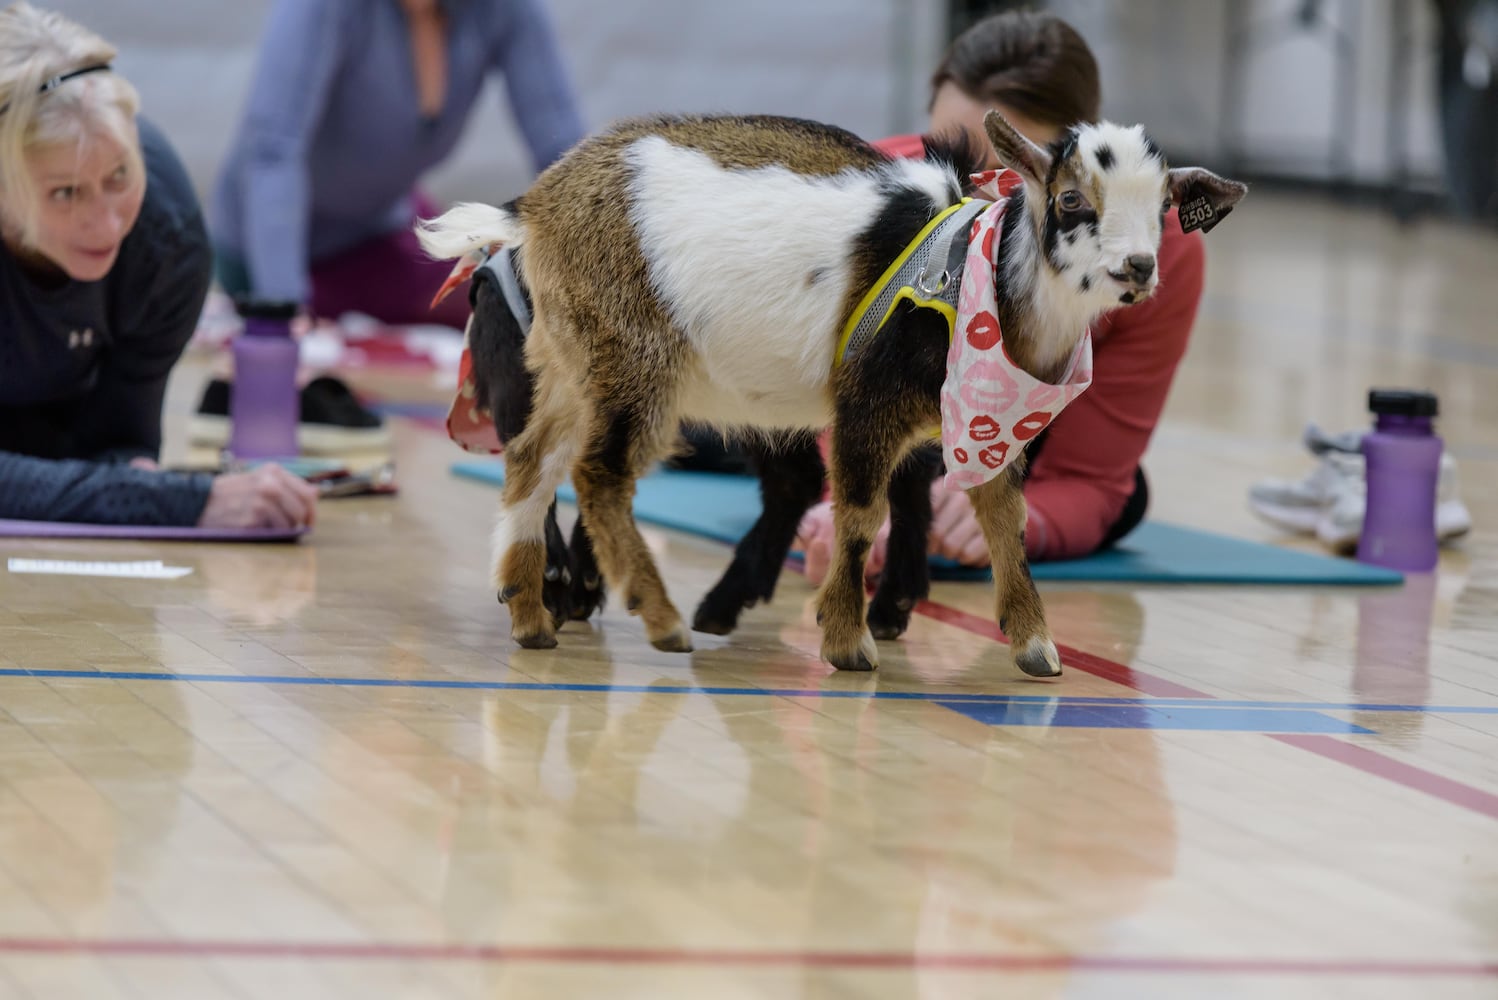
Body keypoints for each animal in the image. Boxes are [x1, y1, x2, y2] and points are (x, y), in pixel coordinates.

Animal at [416, 109, 1246, 676]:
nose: (1137, 268)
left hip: (568, 359)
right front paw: (849, 641)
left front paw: (1036, 645)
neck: (980, 284)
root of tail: (533, 208)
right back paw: (662, 620)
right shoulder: (866, 404)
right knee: (599, 474)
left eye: (1163, 210)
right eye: (1072, 201)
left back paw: (532, 616)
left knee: (531, 461)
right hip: (630, 353)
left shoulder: (985, 428)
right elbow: (858, 515)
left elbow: (1004, 522)